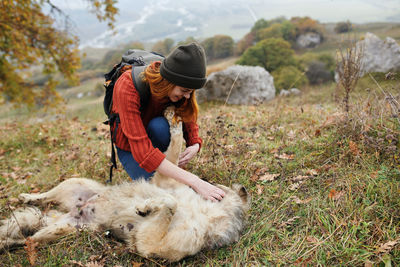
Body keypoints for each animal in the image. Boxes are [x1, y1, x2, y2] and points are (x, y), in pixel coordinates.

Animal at [0, 106, 250, 262]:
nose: (205, 182)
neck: (210, 210)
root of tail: (76, 209)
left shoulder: (150, 245)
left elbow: (170, 204)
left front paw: (146, 207)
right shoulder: (165, 179)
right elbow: (175, 148)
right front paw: (174, 118)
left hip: (64, 230)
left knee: (28, 239)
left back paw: (9, 241)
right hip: (72, 182)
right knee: (42, 199)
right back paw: (27, 197)